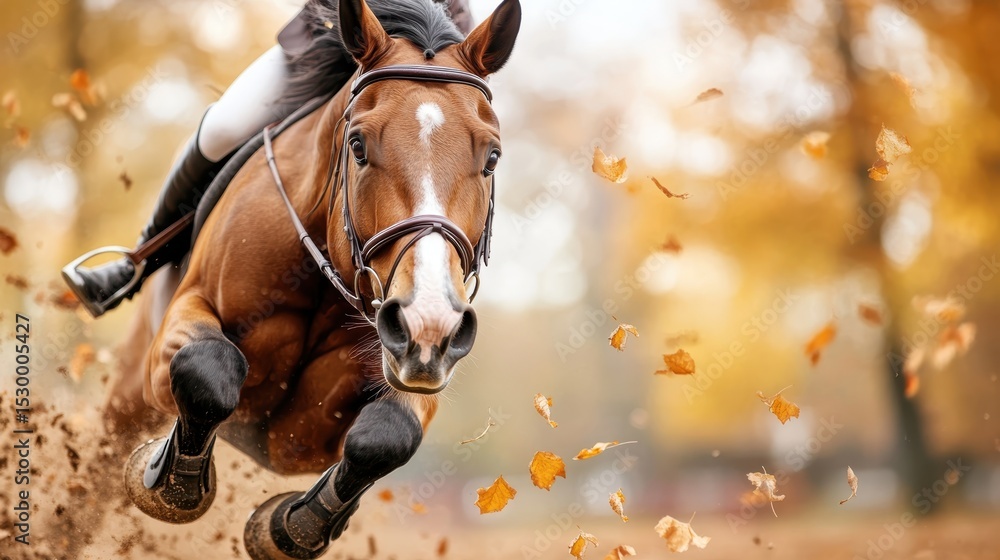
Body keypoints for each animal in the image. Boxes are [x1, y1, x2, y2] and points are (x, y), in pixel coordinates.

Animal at [102, 0, 521, 557]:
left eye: (491, 157)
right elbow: (208, 368)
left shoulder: (409, 376)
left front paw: (289, 527)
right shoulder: (184, 317)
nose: (426, 325)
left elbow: (388, 435)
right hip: (128, 394)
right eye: (358, 146)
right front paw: (171, 486)